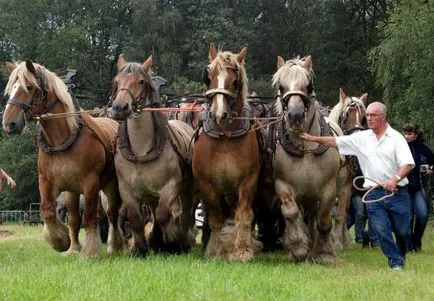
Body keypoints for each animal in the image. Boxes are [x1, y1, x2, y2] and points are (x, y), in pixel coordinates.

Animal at [2, 59, 124, 256]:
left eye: (29, 87)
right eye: (11, 88)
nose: (9, 123)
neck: (61, 142)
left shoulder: (90, 183)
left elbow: (89, 217)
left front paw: (90, 251)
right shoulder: (47, 181)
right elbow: (49, 211)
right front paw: (62, 242)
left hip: (110, 184)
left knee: (112, 214)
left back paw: (114, 246)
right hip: (72, 192)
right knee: (76, 218)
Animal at [110, 54, 195, 255]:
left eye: (141, 81)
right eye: (117, 81)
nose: (119, 107)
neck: (141, 152)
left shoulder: (171, 186)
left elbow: (164, 214)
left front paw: (169, 240)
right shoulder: (127, 189)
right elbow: (135, 218)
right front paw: (141, 249)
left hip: (187, 188)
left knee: (185, 212)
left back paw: (183, 240)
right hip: (150, 195)